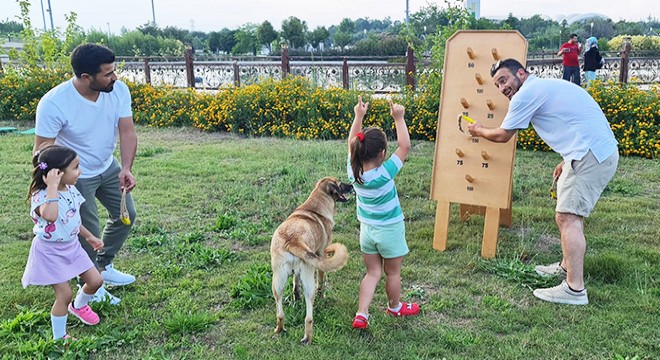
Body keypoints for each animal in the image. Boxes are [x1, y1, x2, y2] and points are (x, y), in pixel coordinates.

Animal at [270, 176, 354, 344]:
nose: (352, 185)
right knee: (309, 316)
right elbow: (321, 281)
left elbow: (295, 284)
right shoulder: (321, 256)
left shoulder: (296, 273)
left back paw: (280, 329)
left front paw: (296, 298)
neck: (314, 207)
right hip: (309, 280)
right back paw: (307, 338)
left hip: (277, 281)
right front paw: (323, 296)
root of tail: (293, 241)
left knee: (280, 313)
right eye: (340, 183)